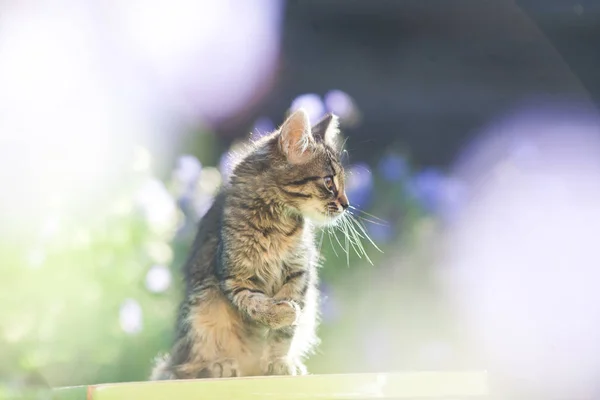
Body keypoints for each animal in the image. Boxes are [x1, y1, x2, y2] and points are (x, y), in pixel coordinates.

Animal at [151, 108, 352, 378]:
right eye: (329, 182)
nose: (346, 204)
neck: (275, 224)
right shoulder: (235, 279)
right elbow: (258, 305)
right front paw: (284, 312)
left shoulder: (299, 275)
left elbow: (284, 335)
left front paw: (280, 362)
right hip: (201, 307)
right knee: (187, 366)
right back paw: (219, 365)